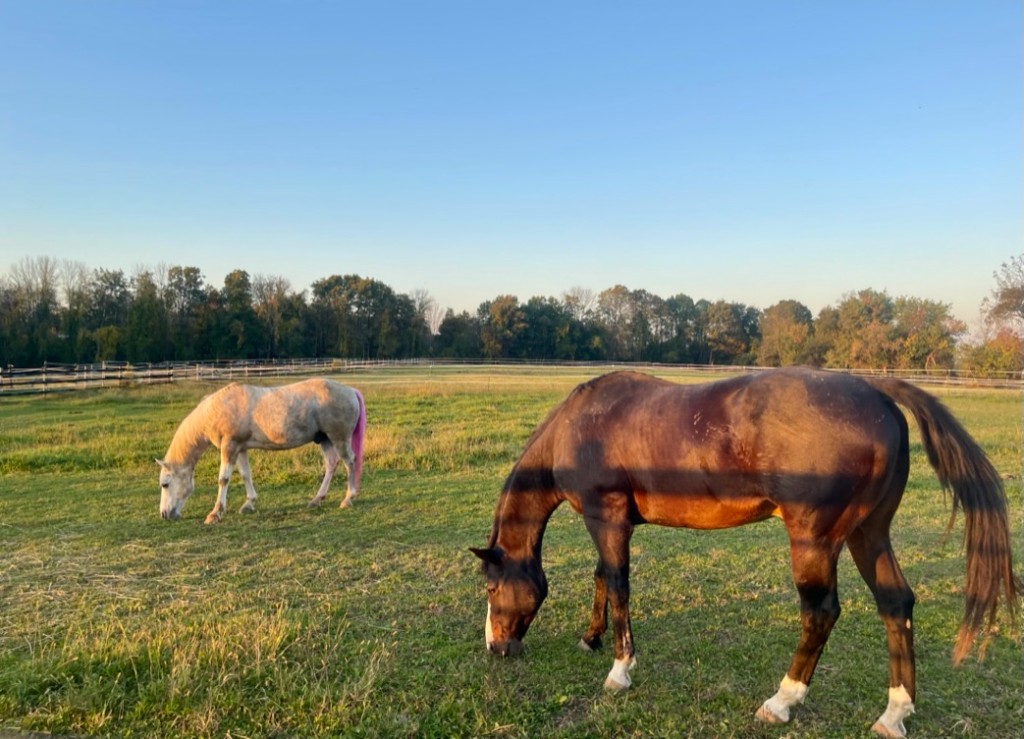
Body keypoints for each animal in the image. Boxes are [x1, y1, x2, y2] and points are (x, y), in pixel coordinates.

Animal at [157, 378, 366, 523]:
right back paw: (317, 499)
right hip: (324, 439)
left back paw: (348, 498)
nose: (164, 514)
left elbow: (223, 479)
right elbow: (245, 475)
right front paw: (248, 503)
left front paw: (215, 513)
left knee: (349, 462)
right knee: (331, 464)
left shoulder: (229, 447)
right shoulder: (240, 448)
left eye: (165, 484)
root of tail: (351, 391)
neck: (218, 409)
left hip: (339, 438)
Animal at [471, 368, 1018, 738]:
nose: (495, 648)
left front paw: (620, 670)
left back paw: (782, 700)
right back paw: (894, 712)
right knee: (896, 604)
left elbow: (618, 582)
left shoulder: (606, 517)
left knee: (821, 612)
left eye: (493, 587)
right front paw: (592, 638)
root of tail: (876, 389)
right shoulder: (609, 522)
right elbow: (603, 578)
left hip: (815, 540)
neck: (581, 423)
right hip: (870, 533)